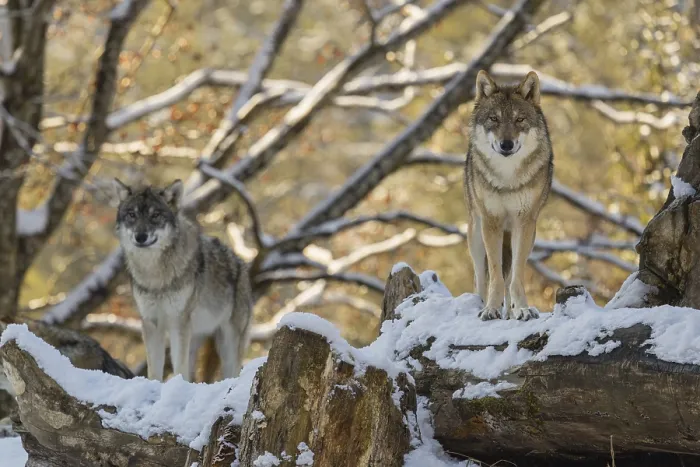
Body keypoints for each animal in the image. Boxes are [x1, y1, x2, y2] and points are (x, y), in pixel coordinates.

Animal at [113, 179, 252, 382]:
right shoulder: (151, 323)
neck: (155, 275)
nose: (140, 237)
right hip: (195, 337)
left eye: (155, 215)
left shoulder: (178, 322)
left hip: (228, 343)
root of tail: (241, 263)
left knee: (231, 372)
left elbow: (179, 365)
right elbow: (154, 369)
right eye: (132, 215)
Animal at [464, 70, 553, 321]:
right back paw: (481, 305)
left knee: (511, 272)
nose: (506, 144)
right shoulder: (491, 222)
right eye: (494, 119)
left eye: (519, 120)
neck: (507, 179)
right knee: (480, 278)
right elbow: (495, 276)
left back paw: (511, 313)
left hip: (526, 235)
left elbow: (516, 277)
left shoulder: (524, 222)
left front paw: (522, 309)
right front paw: (491, 309)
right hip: (475, 235)